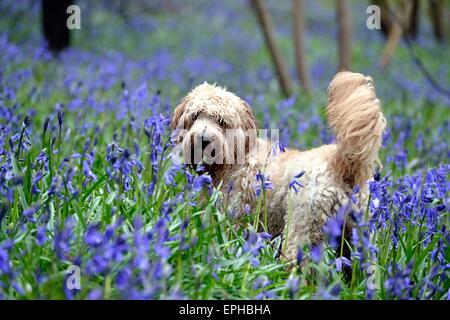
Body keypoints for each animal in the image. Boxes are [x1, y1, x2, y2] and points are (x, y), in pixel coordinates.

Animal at [171, 71, 384, 262]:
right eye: (196, 115)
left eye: (222, 122)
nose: (204, 139)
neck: (236, 157)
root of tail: (340, 163)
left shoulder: (232, 220)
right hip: (357, 242)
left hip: (300, 233)